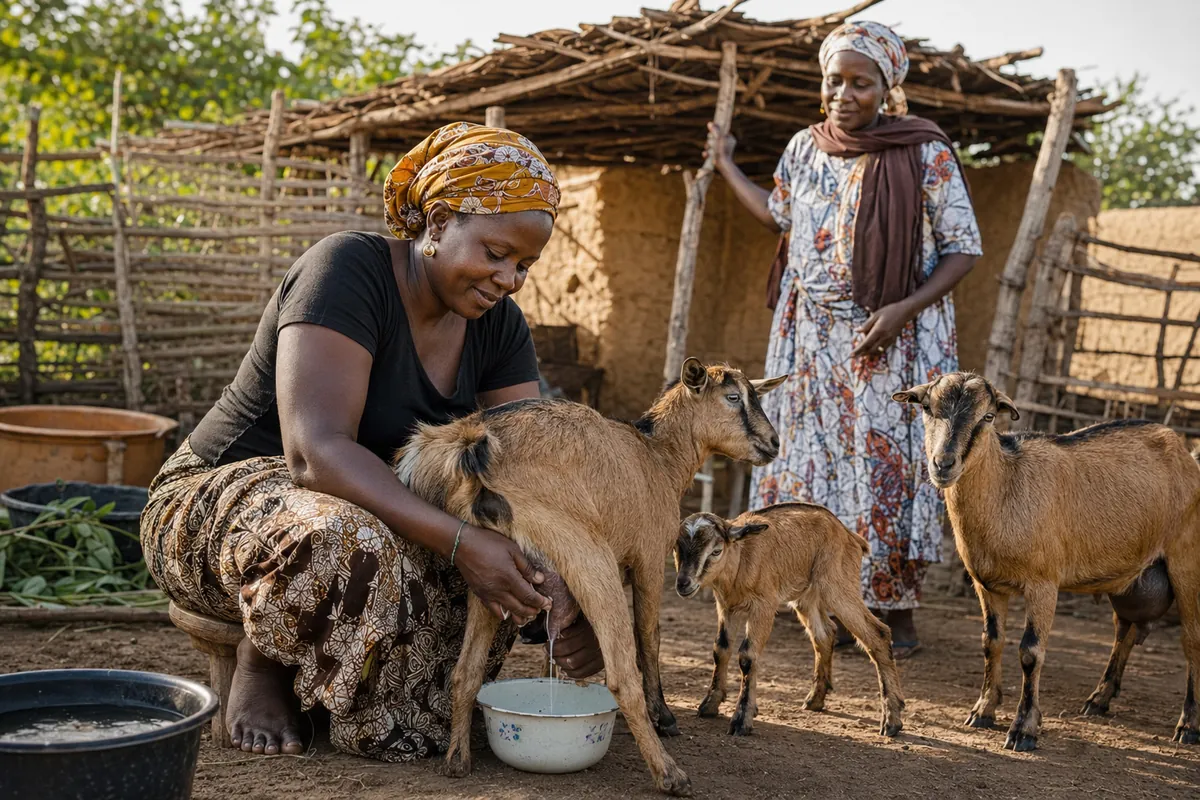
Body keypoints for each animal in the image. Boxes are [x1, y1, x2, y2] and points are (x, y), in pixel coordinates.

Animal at [394, 358, 787, 796]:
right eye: (733, 397)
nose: (773, 443)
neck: (657, 458)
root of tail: (471, 439)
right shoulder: (650, 559)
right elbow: (648, 637)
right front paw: (665, 717)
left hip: (489, 567)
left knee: (466, 672)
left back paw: (457, 759)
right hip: (586, 556)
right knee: (621, 676)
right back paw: (670, 774)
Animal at [673, 506, 904, 737]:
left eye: (716, 551)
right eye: (676, 548)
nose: (683, 584)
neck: (740, 559)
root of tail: (850, 536)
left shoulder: (764, 606)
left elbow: (747, 656)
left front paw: (741, 720)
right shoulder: (727, 607)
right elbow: (720, 649)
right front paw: (709, 705)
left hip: (837, 586)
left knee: (878, 633)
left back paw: (891, 721)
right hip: (807, 596)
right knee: (824, 634)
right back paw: (815, 700)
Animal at [893, 371, 1200, 751]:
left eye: (988, 417)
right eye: (926, 408)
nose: (944, 465)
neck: (1006, 486)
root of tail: (1185, 452)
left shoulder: (1043, 584)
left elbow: (1030, 651)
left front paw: (1024, 728)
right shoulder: (987, 584)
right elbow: (990, 641)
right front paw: (983, 710)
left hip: (1186, 560)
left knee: (1191, 637)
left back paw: (1188, 724)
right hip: (1132, 575)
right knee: (1125, 628)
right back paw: (1099, 699)